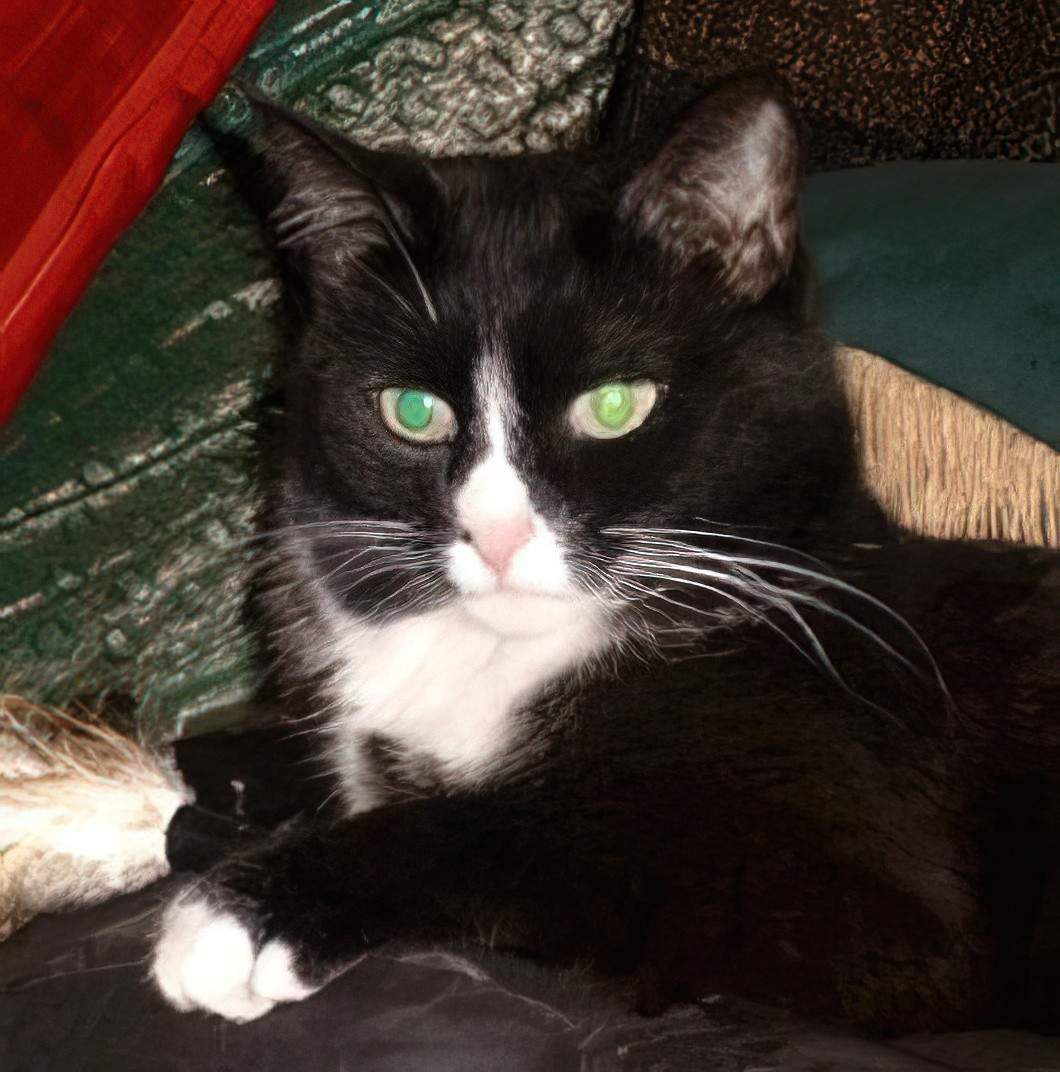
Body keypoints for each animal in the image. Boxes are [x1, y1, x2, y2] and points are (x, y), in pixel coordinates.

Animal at [148, 71, 1058, 1033]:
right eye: (412, 411)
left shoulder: (880, 908)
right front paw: (203, 767)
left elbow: (533, 833)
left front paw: (247, 911)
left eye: (616, 405)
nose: (498, 533)